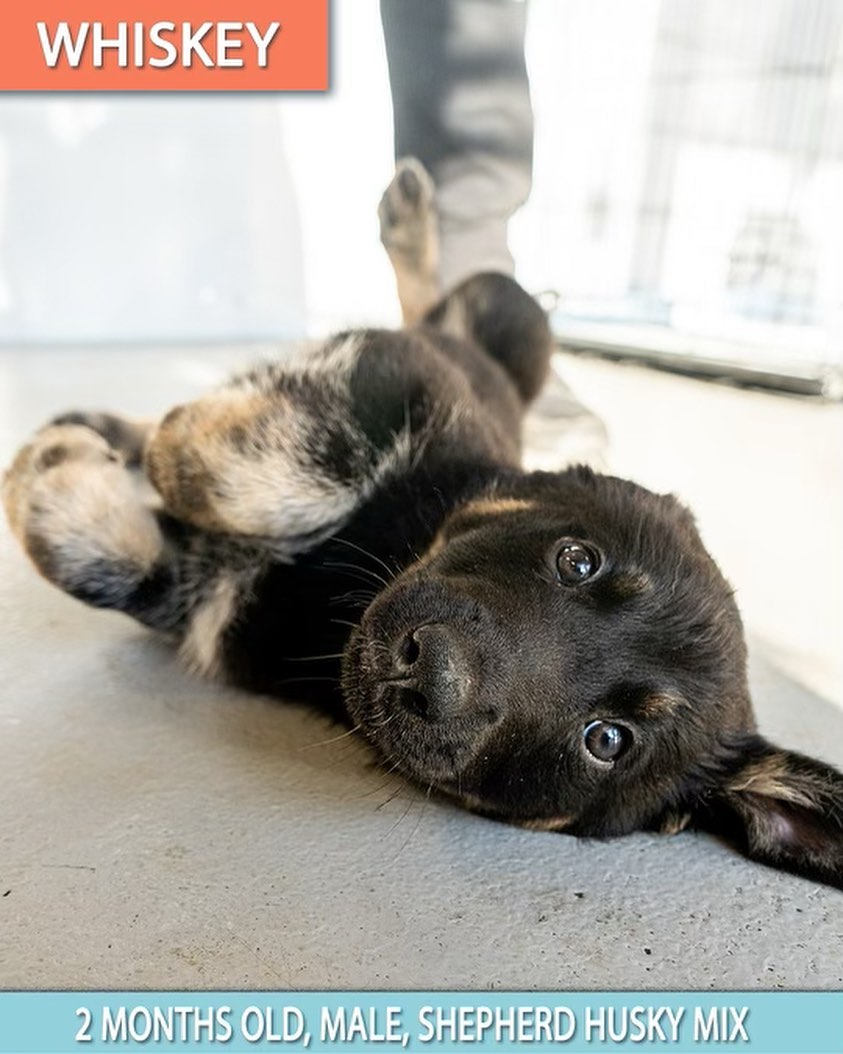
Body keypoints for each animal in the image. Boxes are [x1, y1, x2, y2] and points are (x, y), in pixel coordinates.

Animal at [6, 160, 843, 889]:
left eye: (607, 741)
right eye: (577, 560)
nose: (430, 670)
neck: (342, 596)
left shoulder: (208, 604)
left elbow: (97, 550)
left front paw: (51, 470)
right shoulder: (402, 372)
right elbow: (239, 461)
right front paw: (147, 442)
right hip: (511, 315)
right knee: (442, 311)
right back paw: (410, 222)